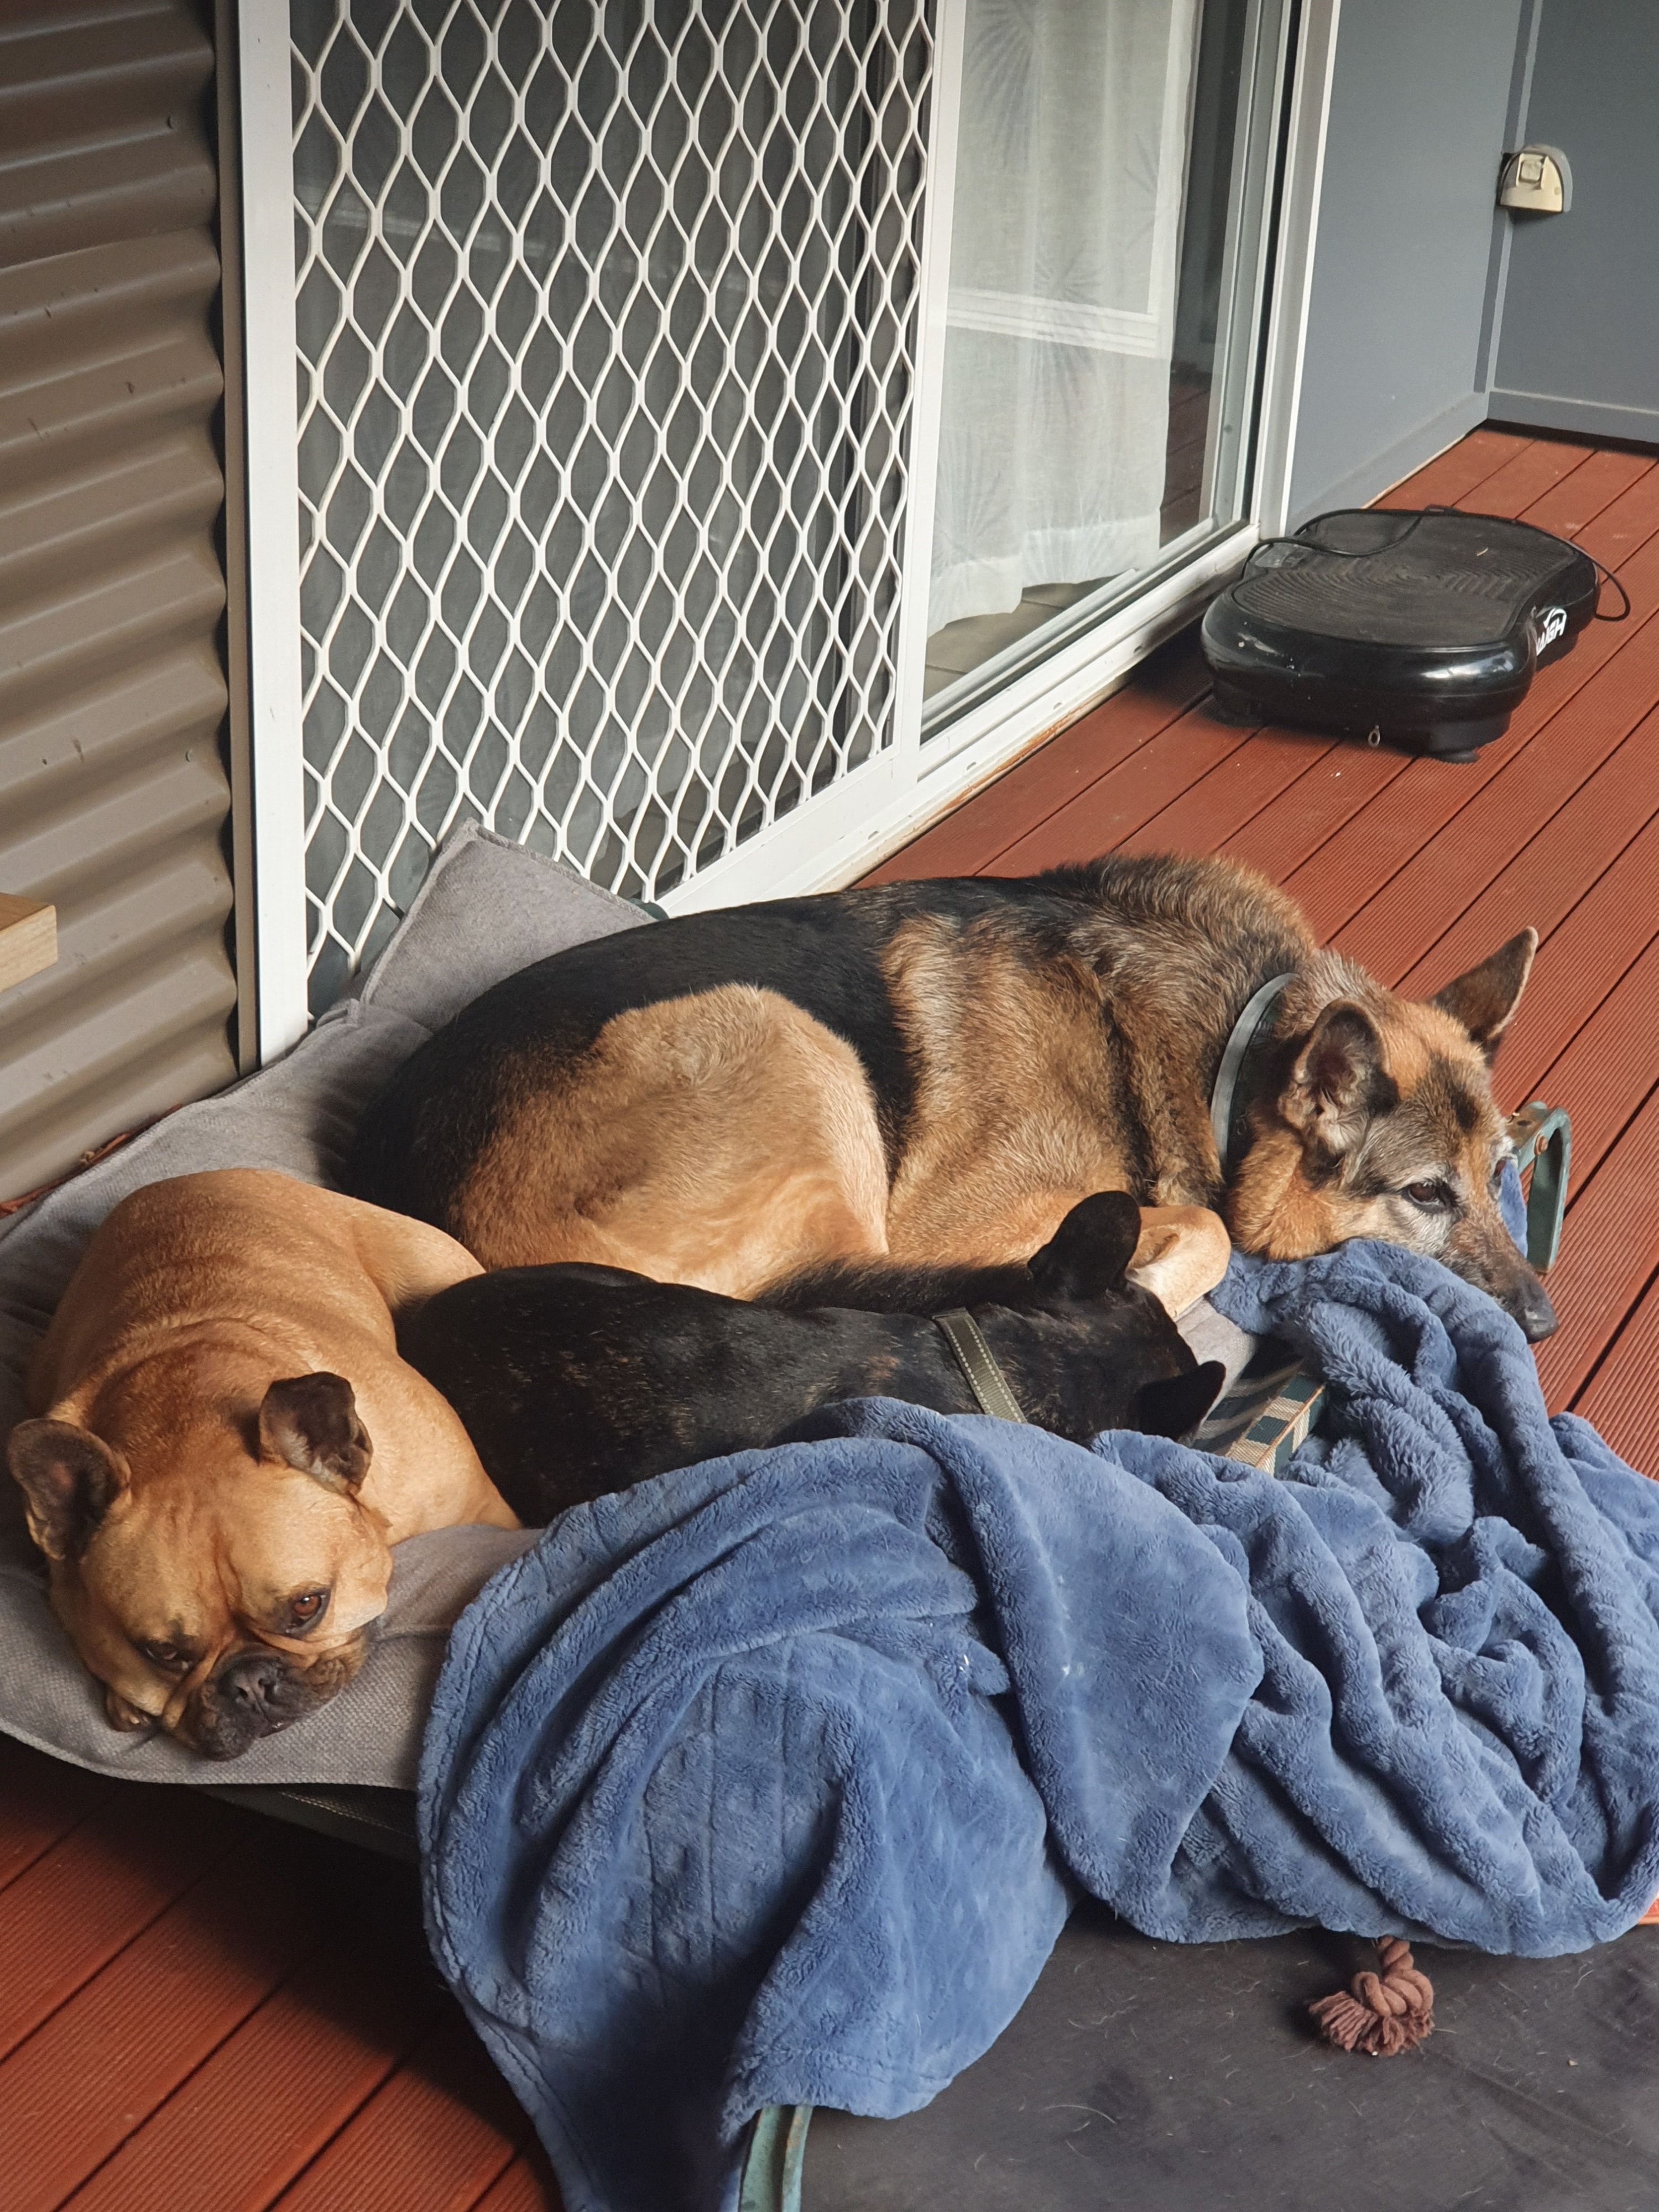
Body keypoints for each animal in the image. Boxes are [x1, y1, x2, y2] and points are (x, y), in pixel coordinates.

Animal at [345, 853, 1557, 1339]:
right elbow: (1207, 1228)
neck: (1235, 1041)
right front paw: (1155, 1262)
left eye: (1501, 1178)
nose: (1546, 1323)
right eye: (1426, 1195)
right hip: (793, 1044)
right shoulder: (962, 1218)